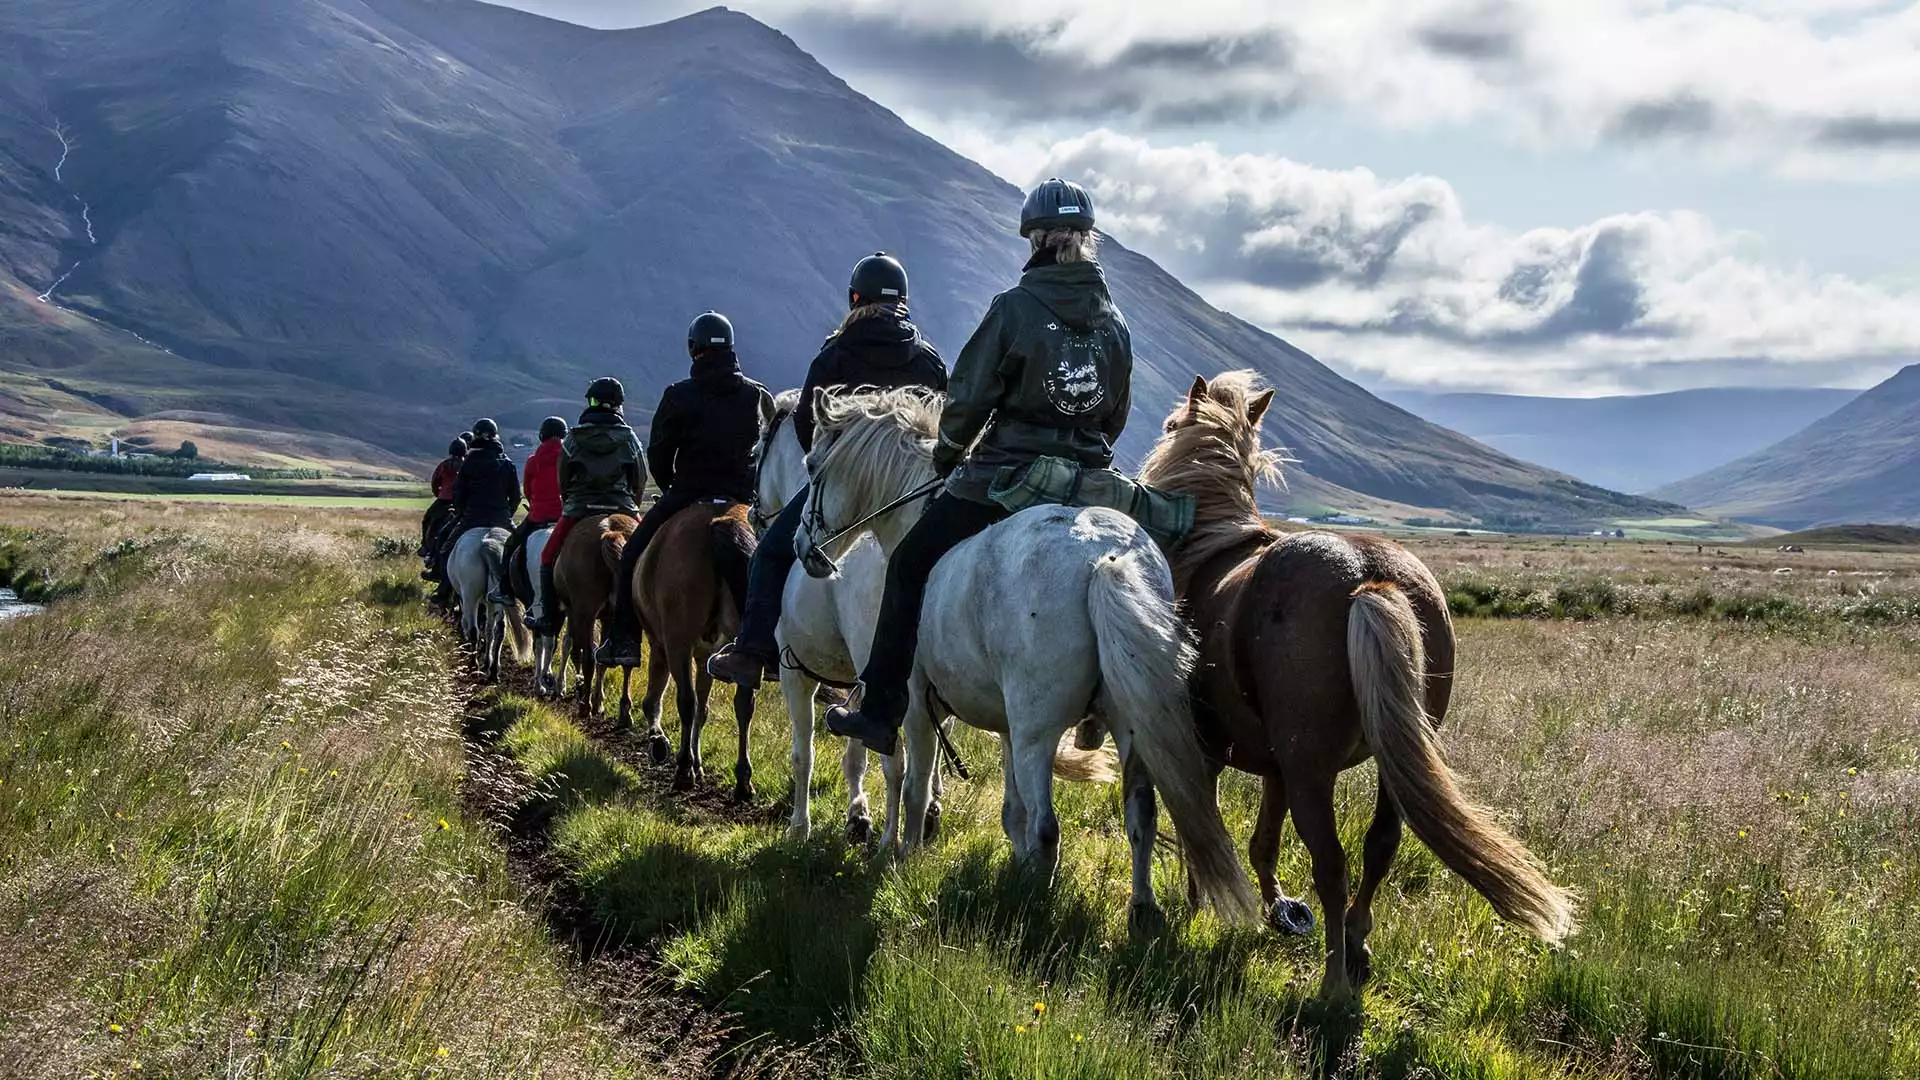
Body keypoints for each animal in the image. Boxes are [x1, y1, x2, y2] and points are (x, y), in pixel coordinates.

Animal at [447, 522, 529, 680]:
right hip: (497, 601)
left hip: (470, 596)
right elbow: (489, 629)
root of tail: (487, 542)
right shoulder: (490, 602)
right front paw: (488, 662)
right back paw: (494, 670)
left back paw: (474, 665)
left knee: (474, 630)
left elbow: (471, 625)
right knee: (499, 630)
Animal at [552, 511, 641, 714]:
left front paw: (570, 687)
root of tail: (611, 531)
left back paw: (585, 706)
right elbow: (602, 658)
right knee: (627, 661)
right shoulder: (607, 617)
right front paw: (599, 700)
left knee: (587, 658)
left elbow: (572, 647)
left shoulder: (574, 612)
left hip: (585, 613)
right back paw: (624, 709)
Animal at [618, 499, 760, 795]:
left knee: (685, 701)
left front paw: (662, 744)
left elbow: (657, 700)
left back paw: (683, 769)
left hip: (677, 643)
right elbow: (702, 710)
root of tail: (720, 521)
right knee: (744, 706)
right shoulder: (705, 655)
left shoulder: (663, 646)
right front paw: (698, 763)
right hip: (740, 649)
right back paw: (742, 780)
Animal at [787, 384, 1251, 914]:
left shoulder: (917, 706)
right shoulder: (1006, 725)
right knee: (1140, 816)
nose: (803, 549)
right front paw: (1010, 858)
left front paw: (901, 857)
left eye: (811, 466)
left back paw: (1030, 904)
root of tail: (1105, 558)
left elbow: (915, 787)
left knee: (1050, 827)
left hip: (1039, 732)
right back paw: (1141, 911)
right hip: (1131, 726)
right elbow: (1012, 811)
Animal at [1136, 368, 1574, 991]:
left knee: (1331, 863)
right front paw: (1272, 909)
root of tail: (1370, 577)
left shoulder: (1213, 751)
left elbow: (1204, 825)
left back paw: (1334, 982)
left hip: (1312, 771)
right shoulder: (1274, 766)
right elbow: (1262, 842)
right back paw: (1356, 942)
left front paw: (1203, 903)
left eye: (1171, 424)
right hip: (1387, 762)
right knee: (1379, 847)